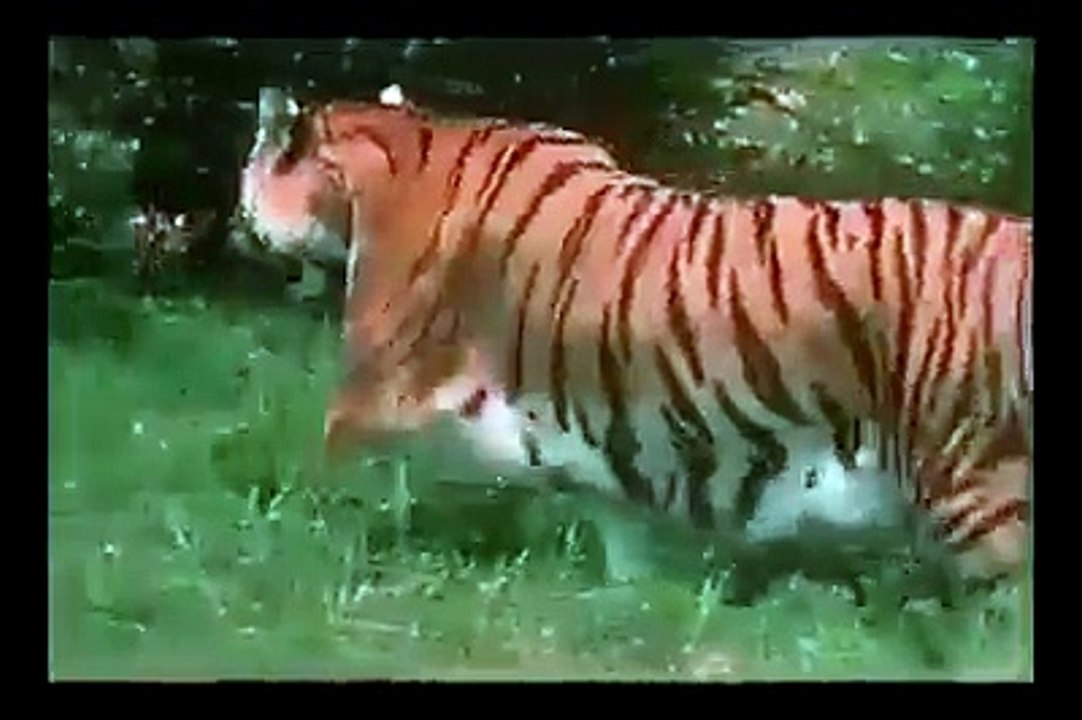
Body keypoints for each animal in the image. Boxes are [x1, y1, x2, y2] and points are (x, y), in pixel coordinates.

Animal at [238, 86, 1032, 583]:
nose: (240, 225)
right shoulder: (611, 428)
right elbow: (617, 519)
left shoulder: (374, 380)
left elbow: (316, 473)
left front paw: (290, 536)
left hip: (976, 478)